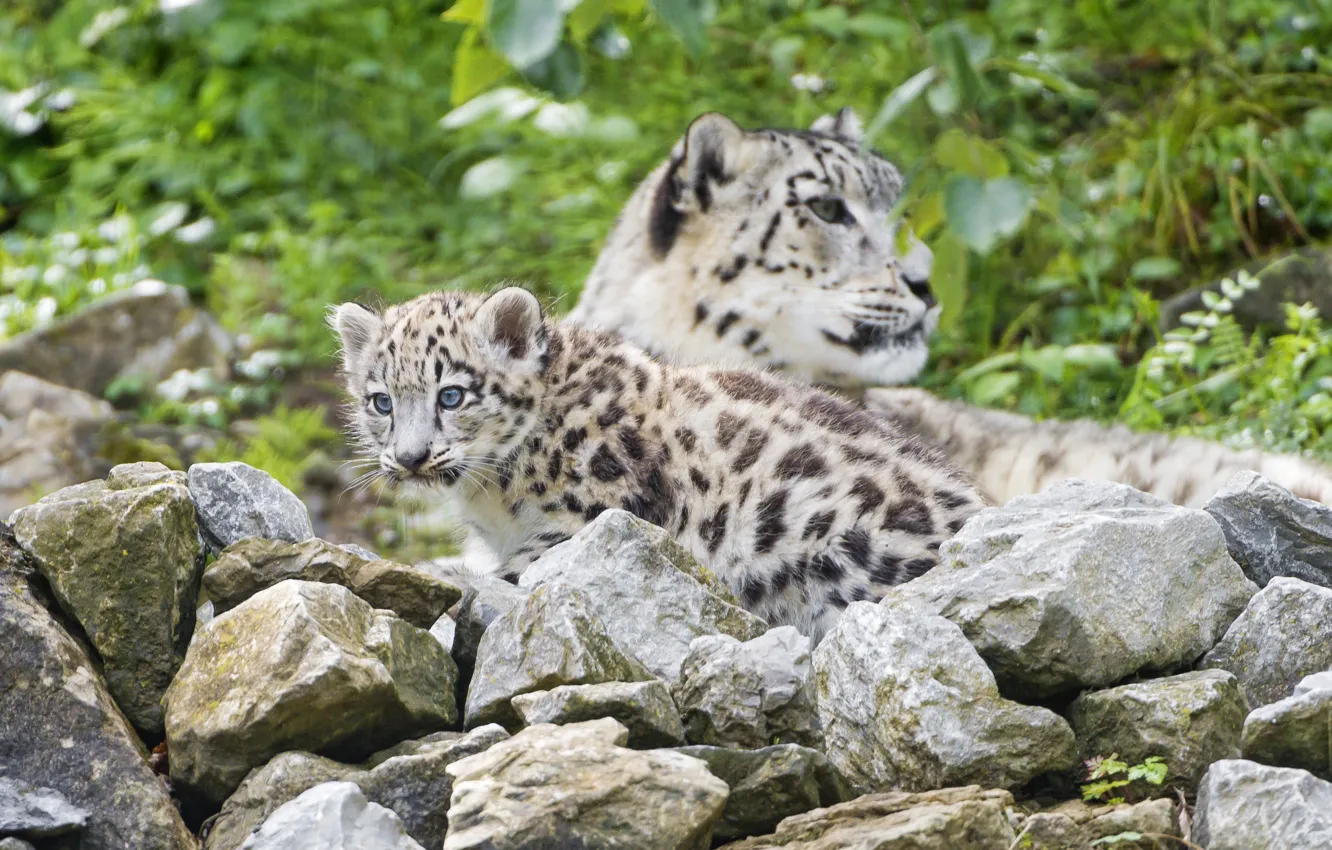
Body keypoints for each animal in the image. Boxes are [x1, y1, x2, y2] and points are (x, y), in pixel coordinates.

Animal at [331, 286, 986, 640]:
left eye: (451, 395)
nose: (410, 457)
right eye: (381, 401)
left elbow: (510, 579)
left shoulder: (578, 522)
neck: (495, 498)